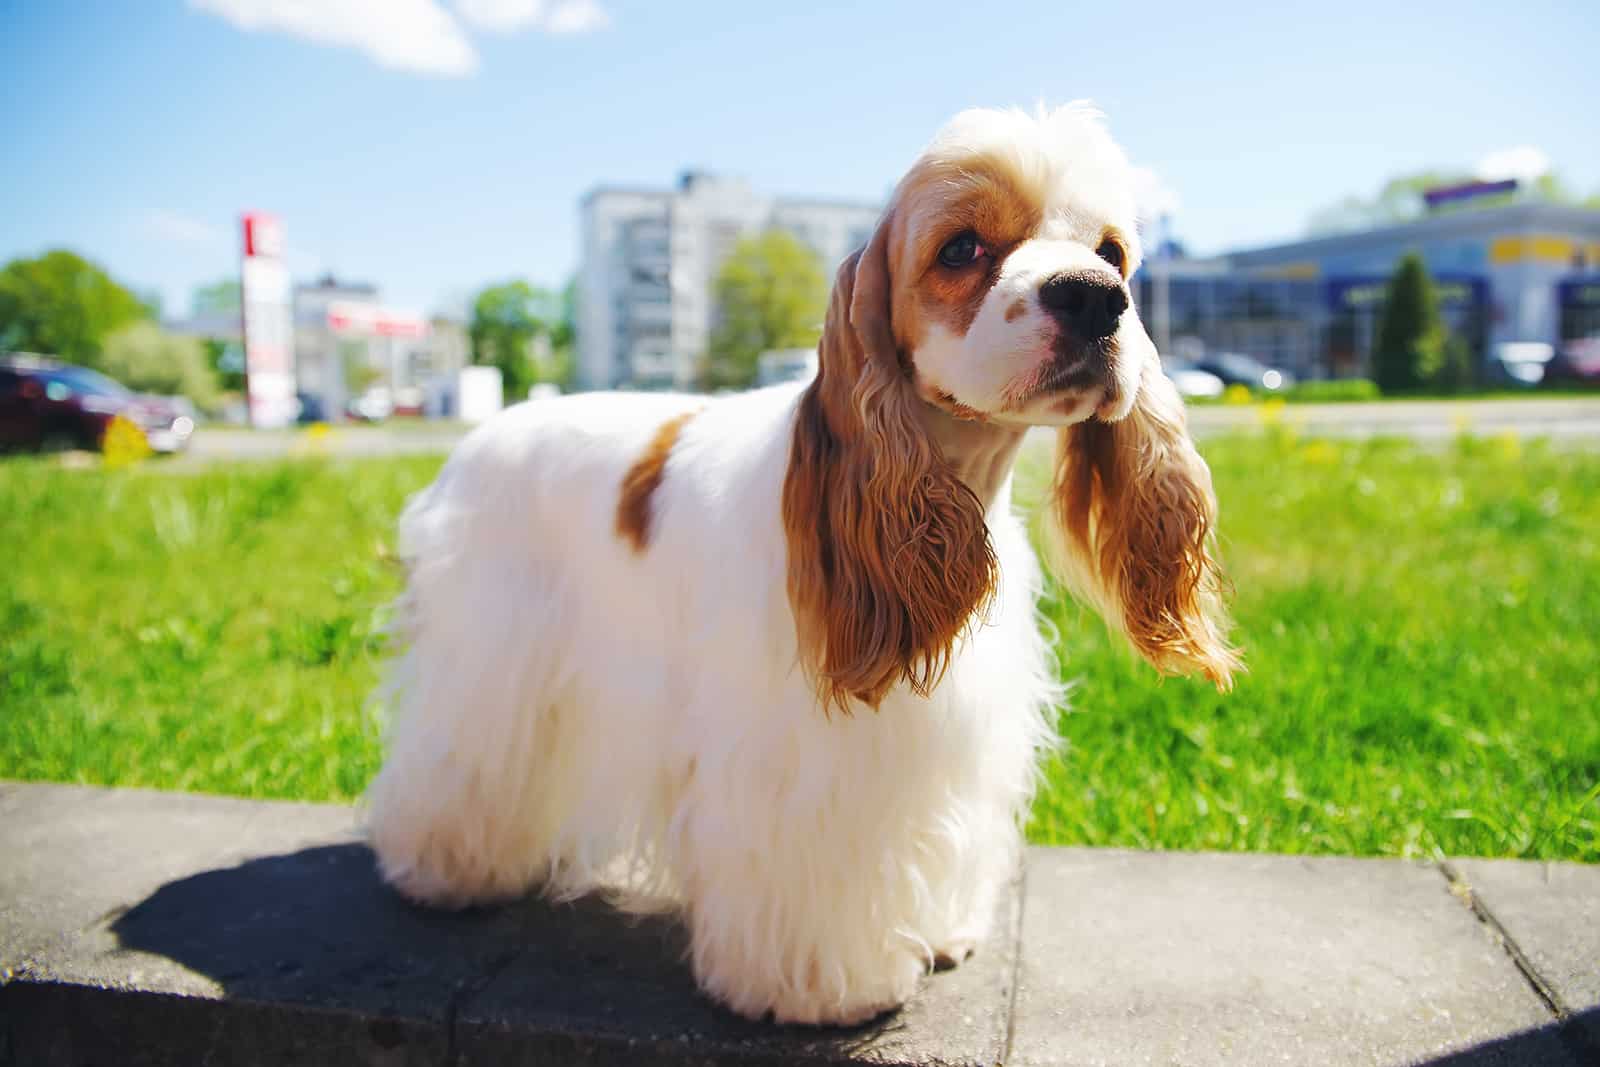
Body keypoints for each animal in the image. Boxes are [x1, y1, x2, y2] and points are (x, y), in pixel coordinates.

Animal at [366, 106, 1235, 1023]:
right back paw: (443, 866)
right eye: (960, 248)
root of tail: (476, 439)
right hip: (492, 658)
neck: (954, 485)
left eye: (1112, 253)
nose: (1097, 297)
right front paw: (823, 986)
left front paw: (940, 929)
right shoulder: (800, 758)